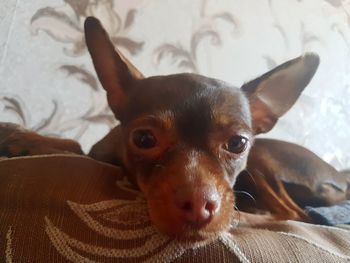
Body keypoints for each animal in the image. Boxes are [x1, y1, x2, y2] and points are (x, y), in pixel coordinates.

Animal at [0, 16, 348, 239]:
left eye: (237, 143)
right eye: (143, 139)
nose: (198, 205)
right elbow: (75, 146)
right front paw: (23, 137)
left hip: (264, 158)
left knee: (293, 214)